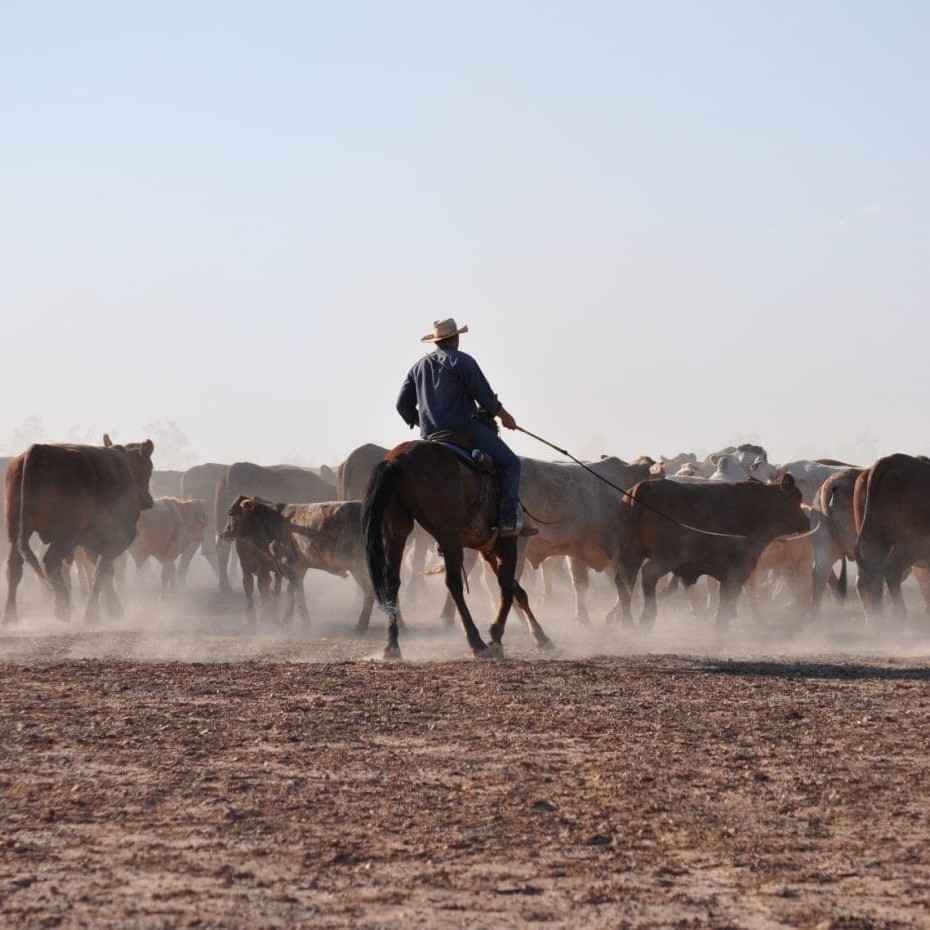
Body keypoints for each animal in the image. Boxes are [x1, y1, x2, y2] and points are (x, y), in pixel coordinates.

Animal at [4, 436, 153, 624]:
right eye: (150, 467)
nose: (148, 501)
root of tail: (39, 450)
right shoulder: (117, 539)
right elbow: (101, 572)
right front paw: (94, 613)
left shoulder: (90, 543)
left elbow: (105, 572)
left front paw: (112, 608)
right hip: (63, 537)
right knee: (50, 562)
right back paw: (62, 607)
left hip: (16, 533)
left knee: (15, 567)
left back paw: (10, 616)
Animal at [362, 438, 552, 656]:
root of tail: (398, 460)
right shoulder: (507, 544)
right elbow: (506, 587)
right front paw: (496, 635)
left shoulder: (487, 549)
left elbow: (516, 590)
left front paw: (540, 635)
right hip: (449, 538)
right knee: (454, 584)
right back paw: (476, 642)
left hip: (396, 530)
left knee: (393, 581)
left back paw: (392, 646)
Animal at [620, 472, 808, 632]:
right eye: (796, 499)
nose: (807, 521)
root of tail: (646, 485)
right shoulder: (737, 568)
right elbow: (728, 595)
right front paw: (721, 624)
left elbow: (728, 595)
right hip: (665, 557)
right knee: (648, 575)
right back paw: (646, 619)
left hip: (633, 554)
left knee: (624, 580)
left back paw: (629, 624)